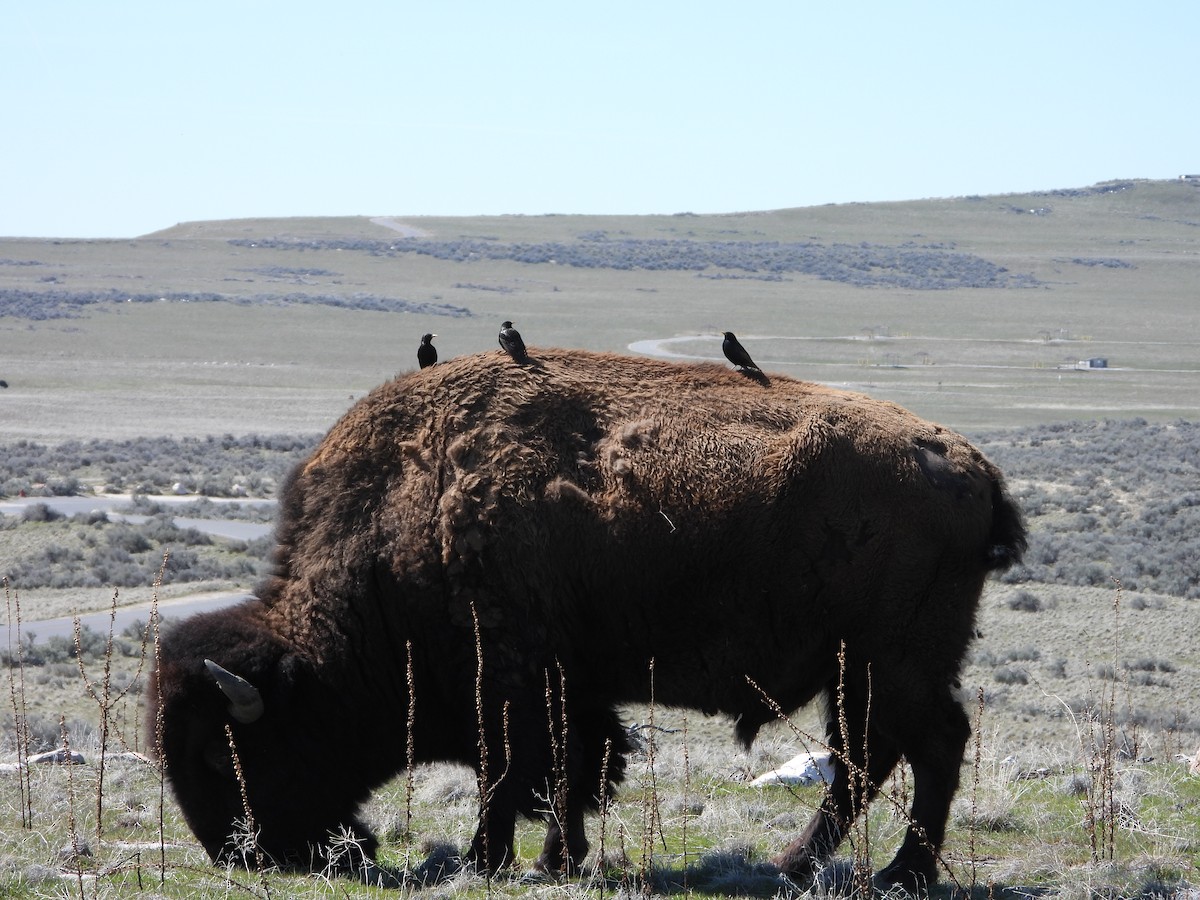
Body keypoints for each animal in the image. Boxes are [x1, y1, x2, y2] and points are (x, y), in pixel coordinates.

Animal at [150, 348, 1027, 892]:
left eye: (219, 755)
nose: (243, 857)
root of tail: (974, 467)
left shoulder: (510, 680)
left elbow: (512, 770)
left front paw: (492, 861)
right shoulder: (570, 683)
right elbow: (571, 766)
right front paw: (556, 859)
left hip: (886, 663)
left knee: (912, 749)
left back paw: (876, 872)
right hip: (868, 668)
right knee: (877, 757)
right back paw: (815, 868)